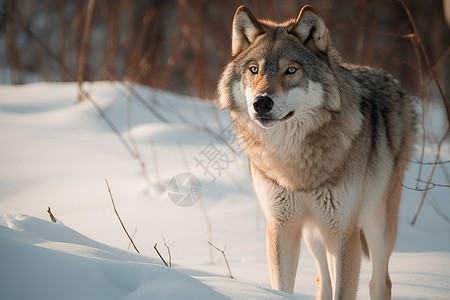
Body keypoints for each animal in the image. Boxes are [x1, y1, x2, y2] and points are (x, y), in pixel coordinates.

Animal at [216, 4, 416, 300]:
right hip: (314, 235)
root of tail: (394, 81)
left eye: (291, 70)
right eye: (254, 69)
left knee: (380, 282)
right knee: (323, 278)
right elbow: (283, 288)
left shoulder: (343, 232)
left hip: (376, 224)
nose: (261, 103)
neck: (295, 165)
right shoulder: (281, 229)